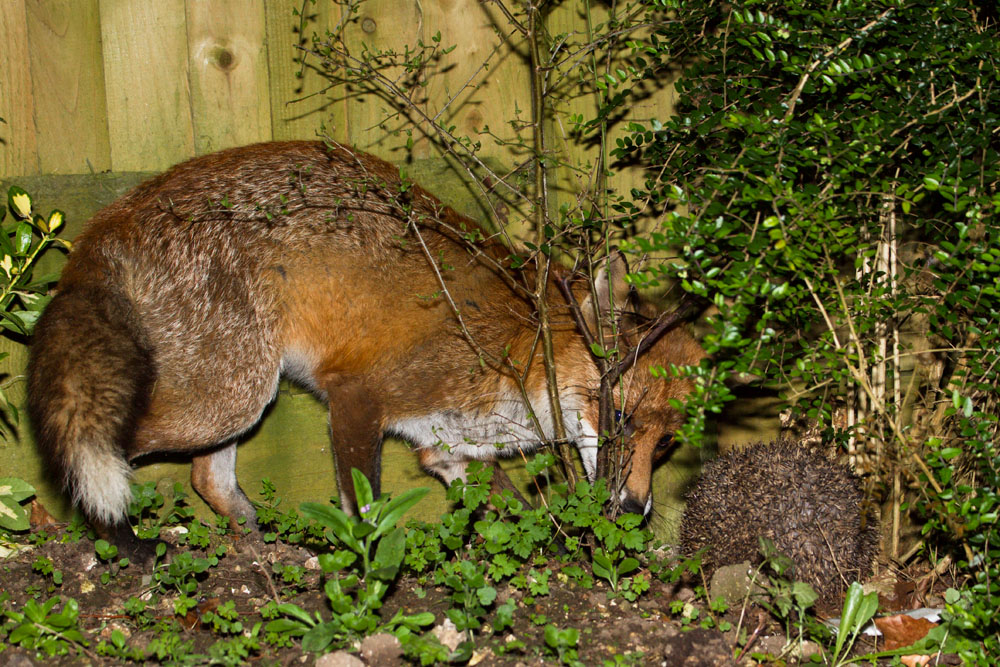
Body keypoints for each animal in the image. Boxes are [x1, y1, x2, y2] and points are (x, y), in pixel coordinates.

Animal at [27, 141, 705, 558]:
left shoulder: (449, 449)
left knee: (205, 478)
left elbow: (521, 516)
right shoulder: (359, 396)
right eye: (619, 419)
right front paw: (370, 583)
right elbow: (364, 513)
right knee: (102, 456)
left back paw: (260, 546)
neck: (517, 350)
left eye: (665, 444)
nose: (634, 509)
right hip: (227, 398)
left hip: (234, 402)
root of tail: (112, 218)